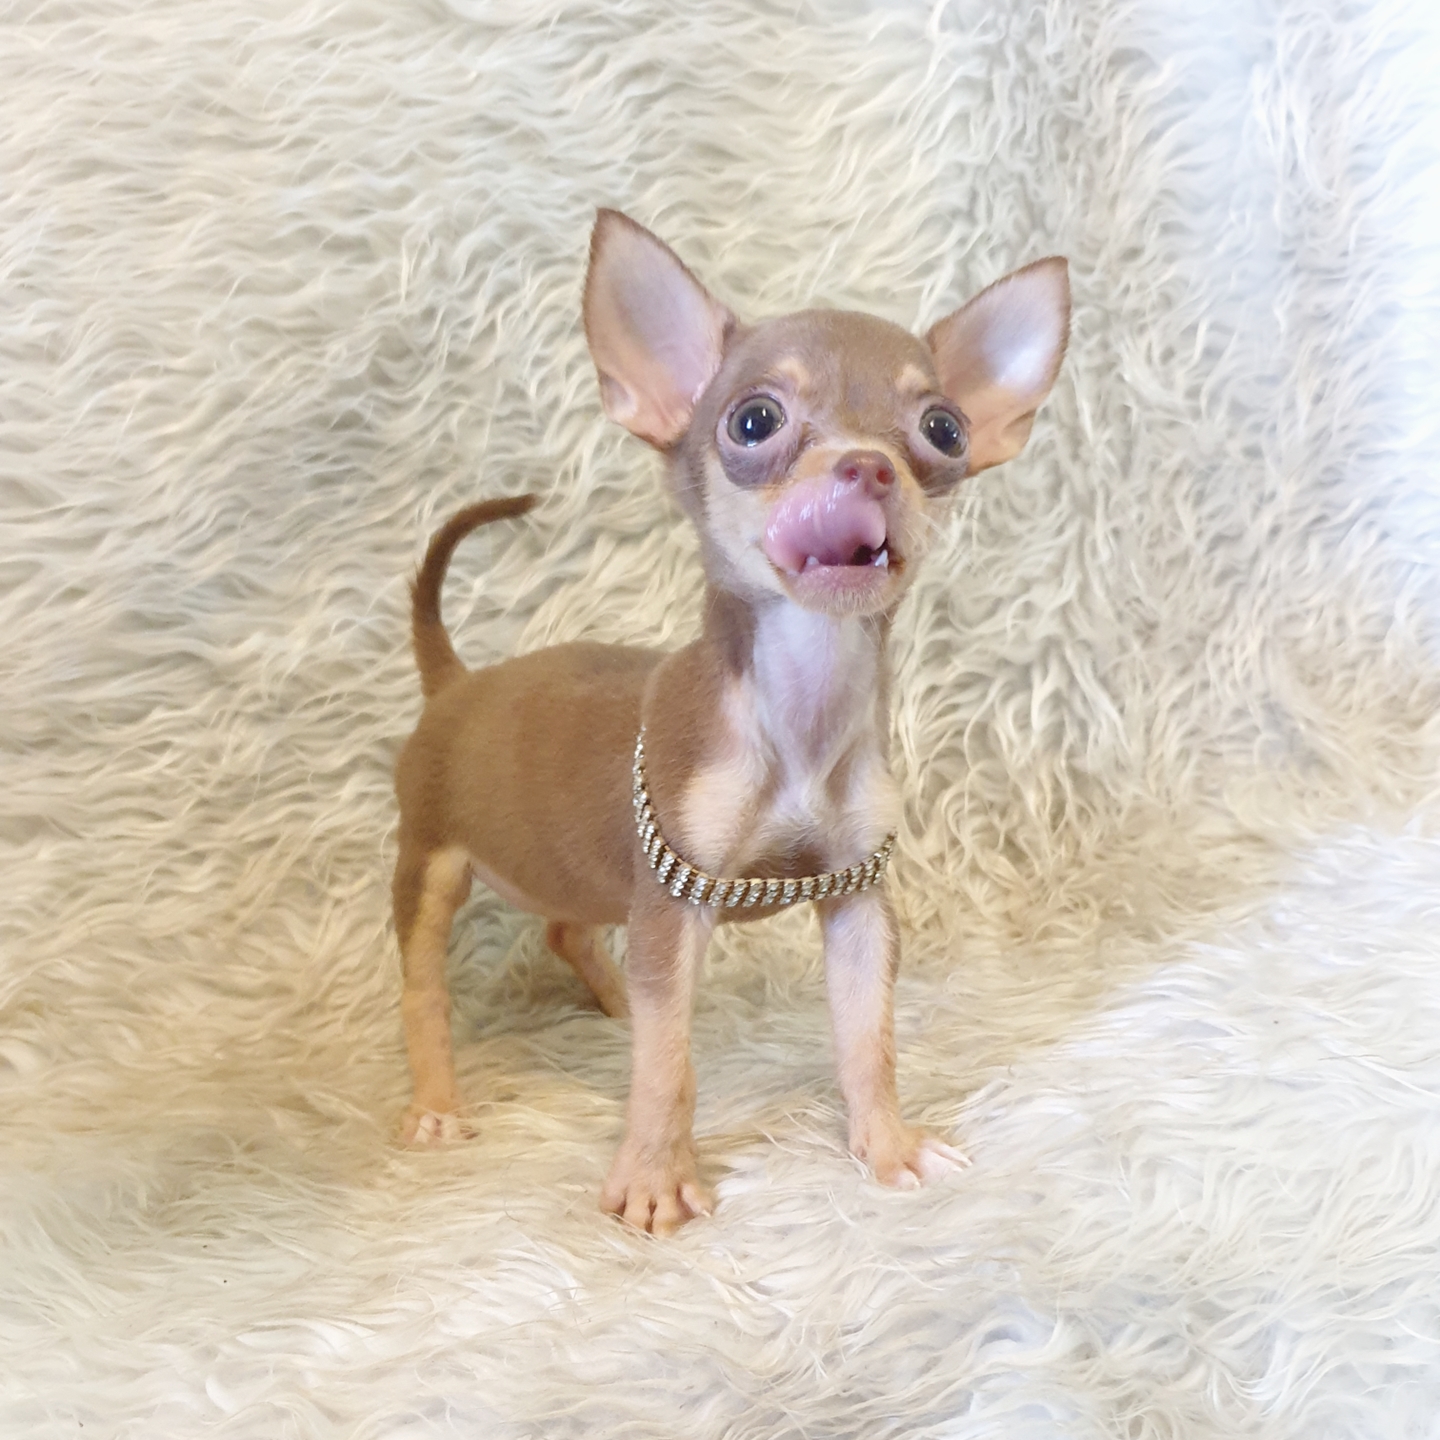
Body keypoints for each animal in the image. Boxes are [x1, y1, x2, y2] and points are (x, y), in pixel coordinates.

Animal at [393, 209, 1070, 1234]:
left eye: (943, 430)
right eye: (754, 421)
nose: (868, 465)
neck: (800, 715)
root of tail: (455, 683)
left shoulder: (855, 903)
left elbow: (867, 1039)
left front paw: (887, 1146)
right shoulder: (675, 901)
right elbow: (669, 1065)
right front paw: (654, 1176)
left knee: (569, 933)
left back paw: (615, 1006)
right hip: (431, 865)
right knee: (425, 988)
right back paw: (437, 1101)